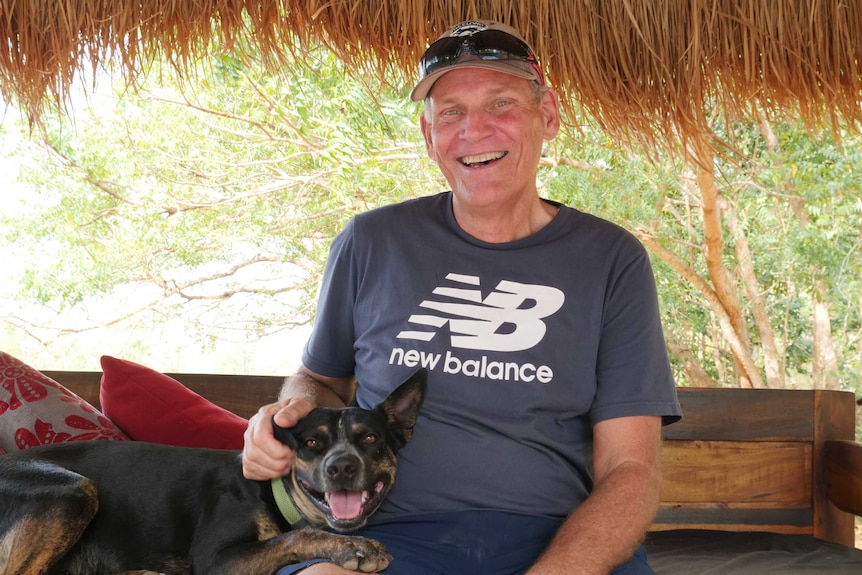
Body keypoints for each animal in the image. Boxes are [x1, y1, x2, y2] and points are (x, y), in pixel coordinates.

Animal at [0, 368, 428, 575]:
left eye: (370, 438)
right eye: (311, 443)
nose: (341, 466)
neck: (274, 493)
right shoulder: (216, 560)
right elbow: (292, 539)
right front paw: (355, 548)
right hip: (73, 491)